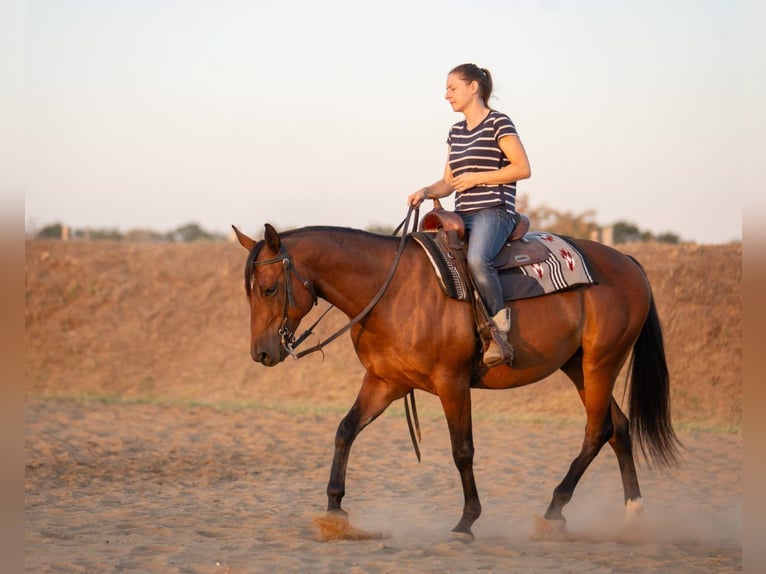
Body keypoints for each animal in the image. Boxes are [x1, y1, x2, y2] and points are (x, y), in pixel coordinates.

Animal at [232, 217, 680, 540]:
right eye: (249, 292)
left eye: (269, 288)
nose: (261, 353)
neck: (391, 290)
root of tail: (628, 264)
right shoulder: (385, 382)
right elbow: (345, 431)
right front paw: (335, 511)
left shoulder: (452, 384)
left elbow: (462, 450)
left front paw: (467, 521)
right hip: (579, 367)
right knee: (618, 427)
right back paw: (633, 514)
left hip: (601, 363)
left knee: (597, 430)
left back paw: (554, 510)